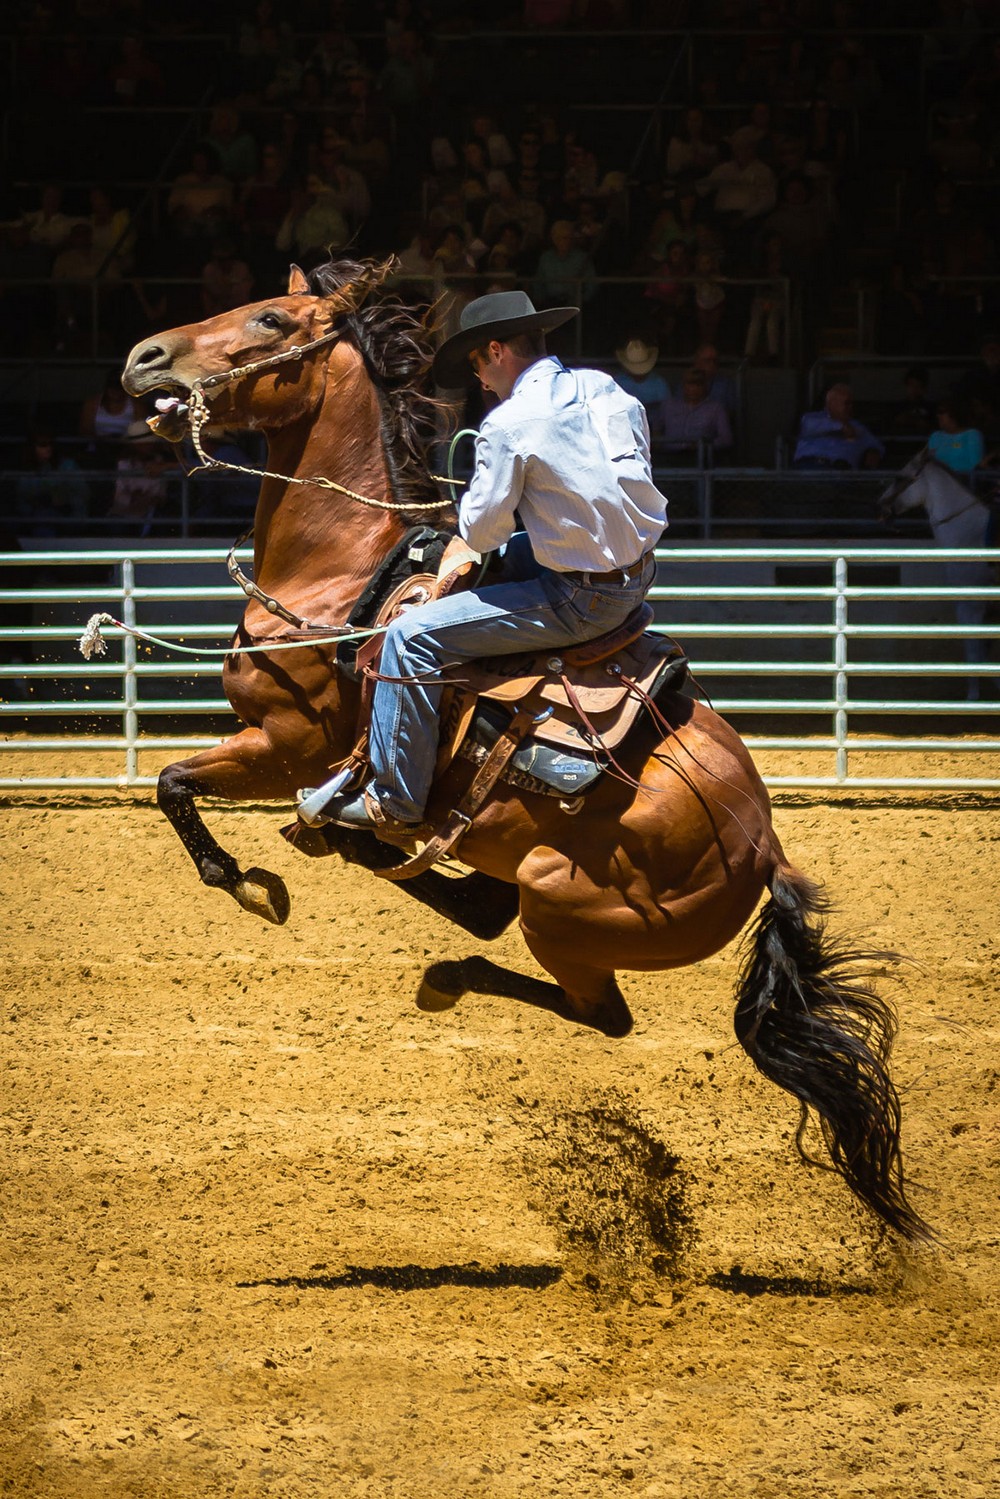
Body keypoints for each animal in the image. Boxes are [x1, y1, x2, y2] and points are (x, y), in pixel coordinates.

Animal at [122, 260, 929, 1241]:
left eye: (271, 318)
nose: (144, 356)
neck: (342, 575)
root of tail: (764, 851)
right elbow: (194, 790)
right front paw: (292, 859)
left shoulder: (285, 745)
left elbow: (173, 782)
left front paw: (249, 884)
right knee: (508, 932)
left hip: (560, 901)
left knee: (596, 1008)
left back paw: (443, 970)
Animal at [881, 446, 995, 698]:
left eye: (899, 477)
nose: (880, 503)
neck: (968, 531)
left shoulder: (970, 605)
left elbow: (974, 651)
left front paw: (973, 697)